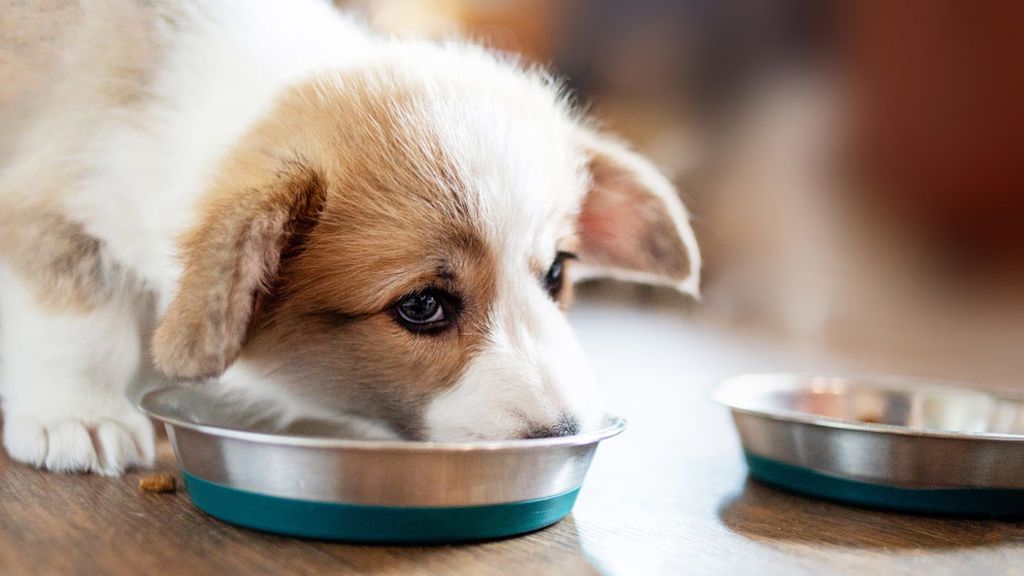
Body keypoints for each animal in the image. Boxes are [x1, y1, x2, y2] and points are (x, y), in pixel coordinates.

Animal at [0, 0, 696, 473]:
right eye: (422, 305)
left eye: (556, 274)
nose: (565, 431)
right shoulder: (52, 202)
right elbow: (81, 326)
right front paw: (79, 417)